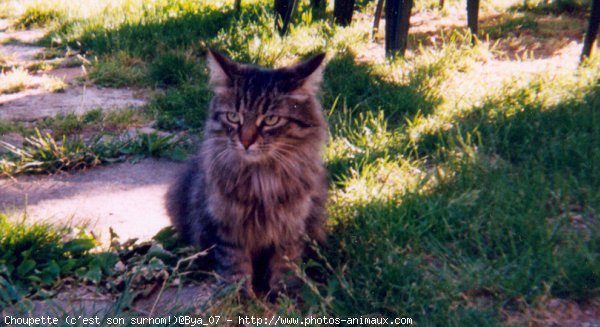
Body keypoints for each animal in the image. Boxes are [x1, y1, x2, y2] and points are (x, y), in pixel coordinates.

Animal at [165, 49, 328, 298]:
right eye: (233, 117)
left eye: (271, 120)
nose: (246, 141)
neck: (261, 178)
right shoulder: (228, 224)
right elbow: (235, 264)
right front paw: (239, 296)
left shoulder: (292, 224)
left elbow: (285, 261)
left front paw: (284, 294)